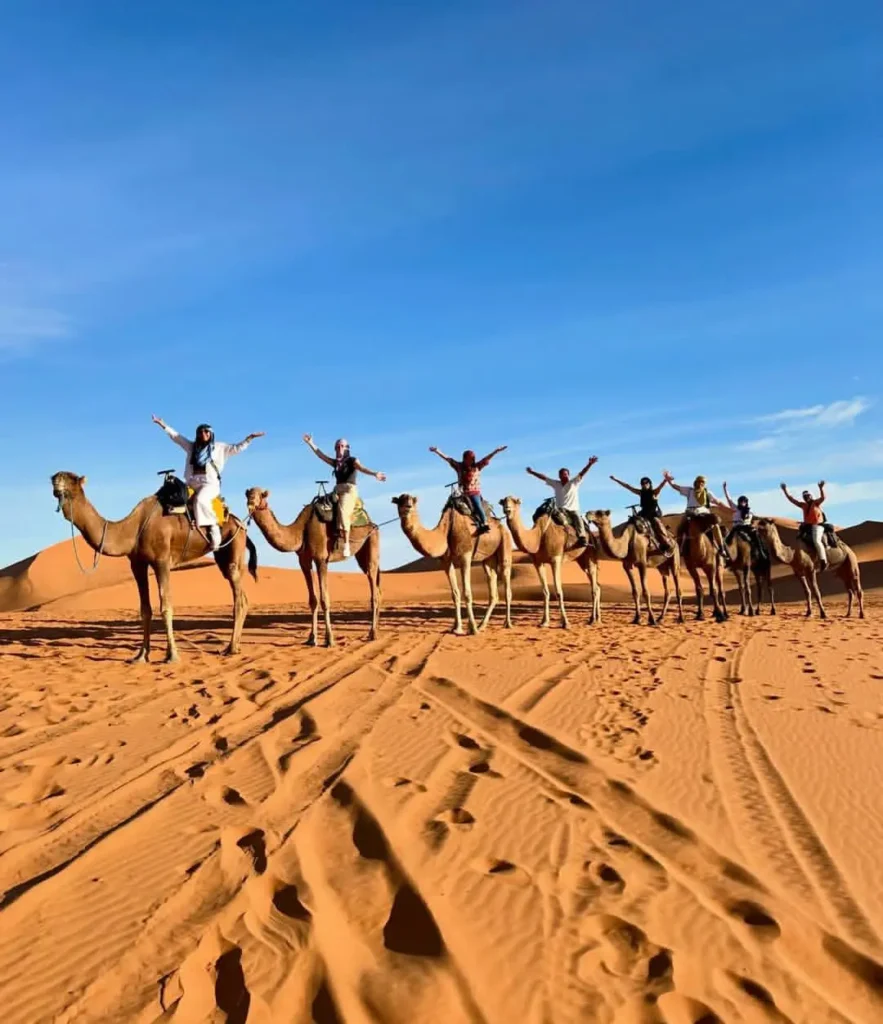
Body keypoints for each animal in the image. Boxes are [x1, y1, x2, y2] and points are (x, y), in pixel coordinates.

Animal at [51, 472, 257, 663]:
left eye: (72, 479)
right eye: (59, 476)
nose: (54, 478)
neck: (133, 529)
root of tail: (239, 522)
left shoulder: (162, 561)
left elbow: (165, 606)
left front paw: (172, 656)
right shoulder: (137, 563)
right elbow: (145, 609)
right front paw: (141, 655)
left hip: (234, 546)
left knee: (239, 596)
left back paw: (231, 648)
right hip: (221, 554)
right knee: (241, 595)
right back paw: (235, 647)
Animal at [245, 488, 380, 646]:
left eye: (261, 495)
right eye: (248, 494)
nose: (251, 502)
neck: (301, 530)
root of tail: (372, 523)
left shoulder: (321, 559)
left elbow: (324, 600)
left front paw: (329, 639)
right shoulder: (304, 561)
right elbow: (313, 600)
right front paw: (312, 638)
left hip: (372, 543)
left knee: (374, 589)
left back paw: (373, 633)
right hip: (361, 555)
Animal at [391, 494, 512, 634]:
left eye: (413, 501)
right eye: (400, 501)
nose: (408, 507)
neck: (446, 530)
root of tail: (501, 526)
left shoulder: (465, 556)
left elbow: (467, 593)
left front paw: (472, 629)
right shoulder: (446, 562)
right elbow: (455, 593)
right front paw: (457, 627)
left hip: (505, 543)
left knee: (506, 581)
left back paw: (507, 623)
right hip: (488, 559)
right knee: (493, 588)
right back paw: (482, 625)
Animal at [499, 497, 600, 627]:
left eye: (515, 501)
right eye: (503, 502)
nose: (507, 509)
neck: (538, 536)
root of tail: (590, 534)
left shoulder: (555, 559)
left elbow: (559, 591)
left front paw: (565, 623)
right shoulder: (537, 562)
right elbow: (545, 591)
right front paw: (544, 622)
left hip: (589, 554)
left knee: (594, 587)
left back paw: (592, 619)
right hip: (581, 560)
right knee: (596, 586)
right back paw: (597, 618)